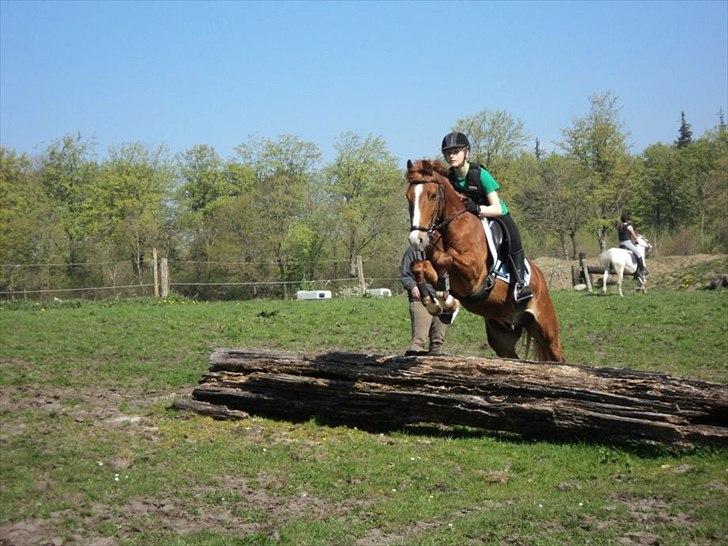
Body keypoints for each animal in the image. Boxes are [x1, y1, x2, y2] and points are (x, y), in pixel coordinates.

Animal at [406, 157, 564, 362]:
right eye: (408, 197)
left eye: (432, 196)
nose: (416, 239)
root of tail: (540, 277)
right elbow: (418, 266)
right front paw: (433, 302)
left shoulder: (473, 277)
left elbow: (444, 258)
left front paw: (446, 301)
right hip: (502, 335)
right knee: (511, 356)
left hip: (546, 325)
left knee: (557, 355)